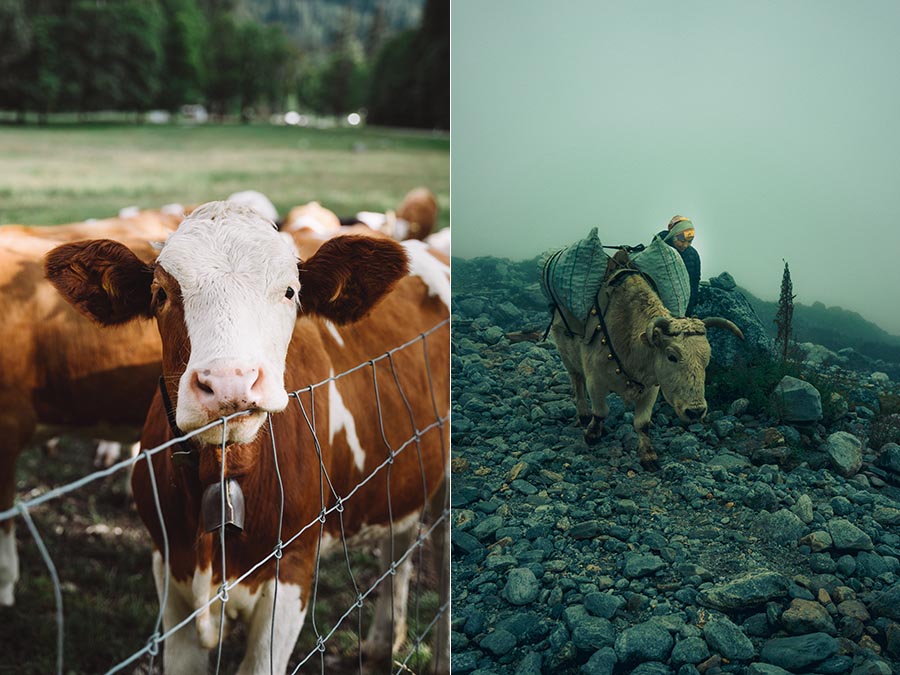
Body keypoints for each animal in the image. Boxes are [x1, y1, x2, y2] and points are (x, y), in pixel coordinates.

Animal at [44, 202, 450, 675]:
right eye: (160, 294)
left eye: (290, 292)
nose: (228, 383)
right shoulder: (168, 568)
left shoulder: (292, 570)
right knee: (398, 543)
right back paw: (381, 644)